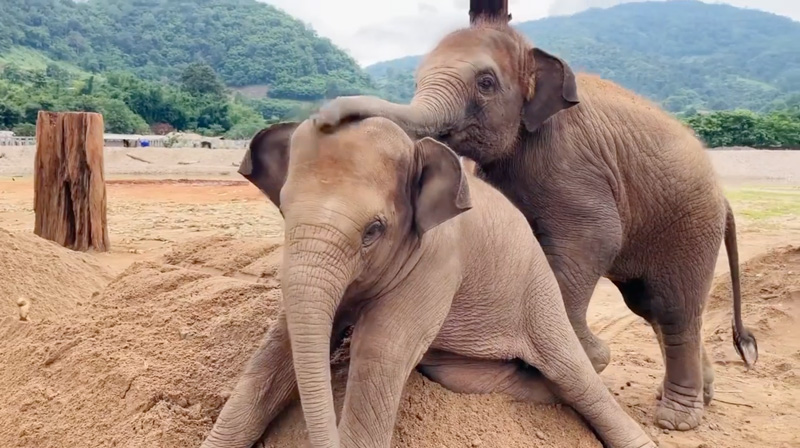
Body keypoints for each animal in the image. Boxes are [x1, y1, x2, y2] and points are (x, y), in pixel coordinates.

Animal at [202, 117, 656, 448]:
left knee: (572, 372)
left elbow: (380, 349)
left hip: (537, 289)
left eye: (373, 230)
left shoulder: (437, 262)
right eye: (284, 210)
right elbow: (278, 348)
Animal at [310, 15, 760, 432]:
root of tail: (723, 196)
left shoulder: (572, 162)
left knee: (672, 309)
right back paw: (700, 395)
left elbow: (595, 237)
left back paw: (676, 419)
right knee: (648, 305)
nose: (322, 119)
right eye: (417, 79)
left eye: (486, 82)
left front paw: (587, 358)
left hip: (690, 223)